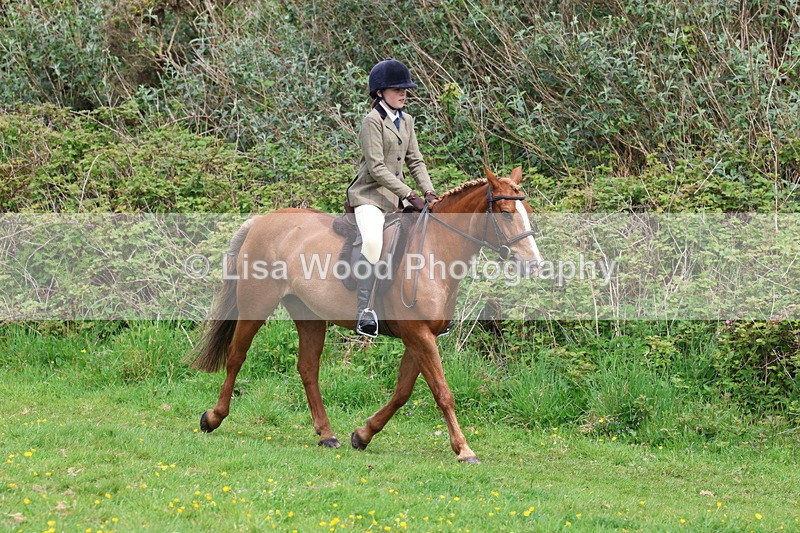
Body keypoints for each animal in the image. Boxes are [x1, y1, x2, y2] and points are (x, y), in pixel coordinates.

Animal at [190, 167, 543, 463]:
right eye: (506, 214)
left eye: (527, 214)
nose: (534, 265)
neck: (435, 253)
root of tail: (262, 220)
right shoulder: (419, 335)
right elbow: (443, 393)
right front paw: (464, 450)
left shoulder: (420, 337)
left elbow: (402, 392)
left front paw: (363, 435)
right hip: (256, 303)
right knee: (237, 356)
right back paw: (213, 417)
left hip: (309, 314)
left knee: (308, 369)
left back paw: (326, 435)